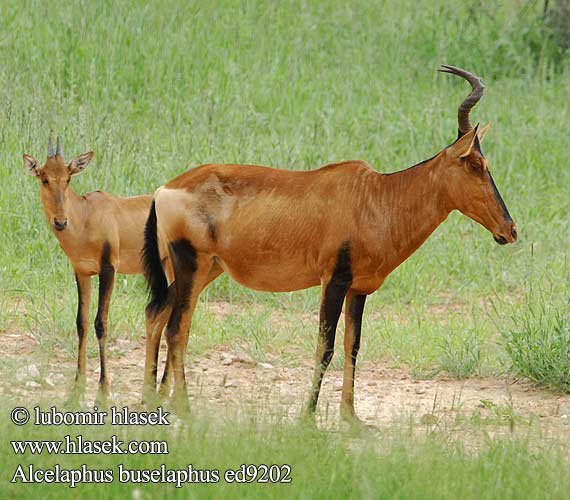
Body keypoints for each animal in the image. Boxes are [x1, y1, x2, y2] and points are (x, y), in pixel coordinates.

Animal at [23, 139, 171, 404]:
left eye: (68, 178)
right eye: (44, 178)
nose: (60, 222)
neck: (86, 215)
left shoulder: (108, 269)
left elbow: (100, 323)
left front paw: (102, 393)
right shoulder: (82, 273)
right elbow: (81, 323)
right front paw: (76, 391)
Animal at [141, 65, 516, 426]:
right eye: (476, 164)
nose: (509, 230)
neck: (377, 195)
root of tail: (165, 189)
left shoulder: (359, 288)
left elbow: (353, 346)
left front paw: (352, 419)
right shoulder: (334, 280)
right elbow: (326, 347)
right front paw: (308, 419)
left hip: (207, 269)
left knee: (159, 314)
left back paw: (155, 400)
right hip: (192, 264)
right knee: (177, 328)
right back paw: (184, 408)